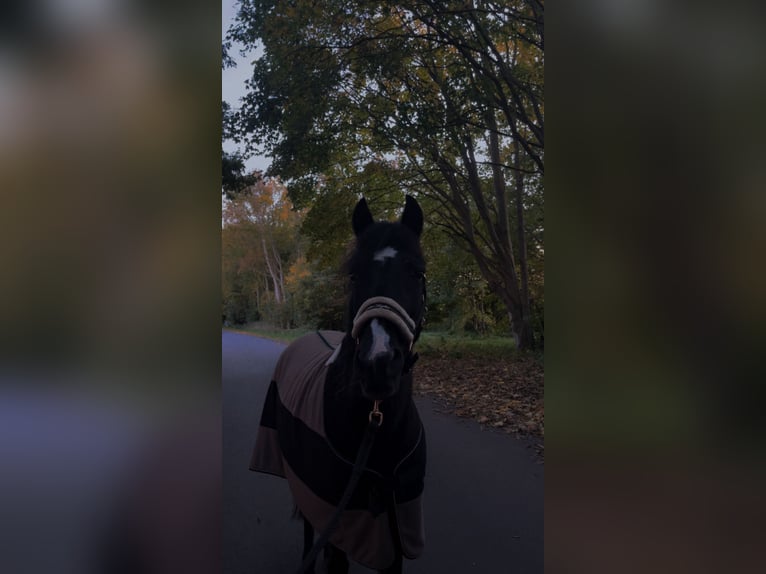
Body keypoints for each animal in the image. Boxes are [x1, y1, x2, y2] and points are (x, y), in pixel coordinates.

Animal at [250, 195, 428, 574]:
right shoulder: (339, 523)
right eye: (354, 274)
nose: (378, 363)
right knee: (307, 527)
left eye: (417, 272)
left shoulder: (398, 529)